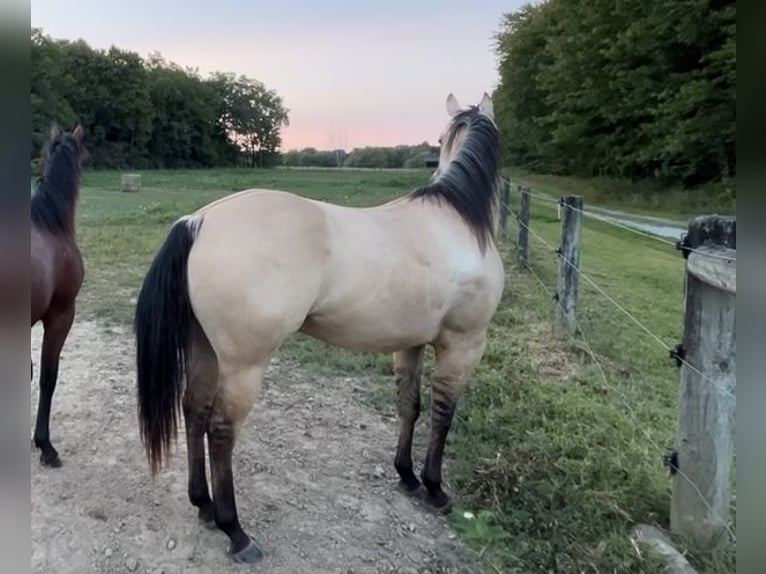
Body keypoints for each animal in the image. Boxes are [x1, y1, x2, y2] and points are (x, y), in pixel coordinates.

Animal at [134, 93, 504, 564]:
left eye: (439, 140)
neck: (459, 225)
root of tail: (198, 222)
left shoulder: (410, 344)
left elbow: (410, 406)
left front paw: (406, 476)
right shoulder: (463, 345)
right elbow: (443, 414)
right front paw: (435, 489)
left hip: (205, 350)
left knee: (194, 410)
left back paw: (203, 504)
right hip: (243, 366)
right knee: (220, 431)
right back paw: (236, 531)